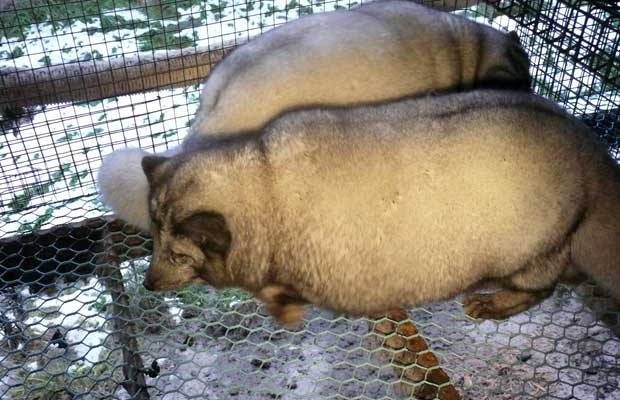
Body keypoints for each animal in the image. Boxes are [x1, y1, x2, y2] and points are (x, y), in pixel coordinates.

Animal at [138, 90, 620, 324]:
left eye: (178, 255)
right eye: (153, 240)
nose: (147, 284)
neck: (264, 190)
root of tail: (591, 149)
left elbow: (276, 294)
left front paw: (283, 309)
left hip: (530, 251)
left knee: (543, 288)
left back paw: (496, 303)